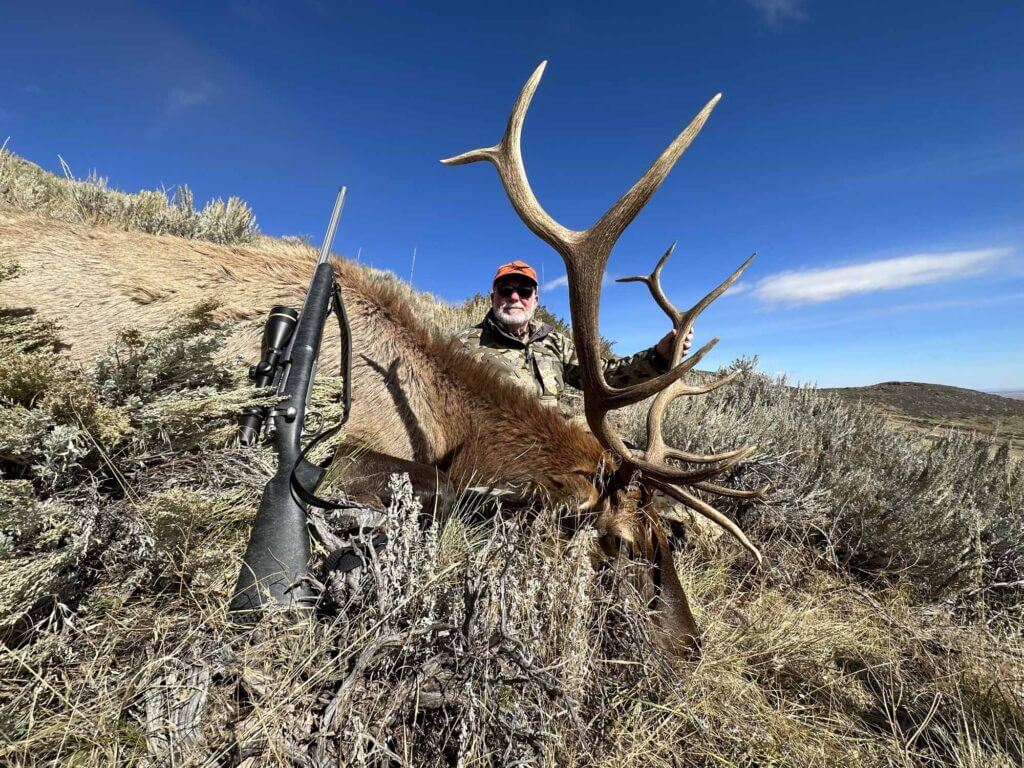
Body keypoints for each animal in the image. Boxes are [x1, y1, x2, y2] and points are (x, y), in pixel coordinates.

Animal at [0, 62, 763, 656]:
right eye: (627, 543)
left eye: (670, 535)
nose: (690, 647)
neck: (444, 418)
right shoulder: (344, 451)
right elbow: (443, 492)